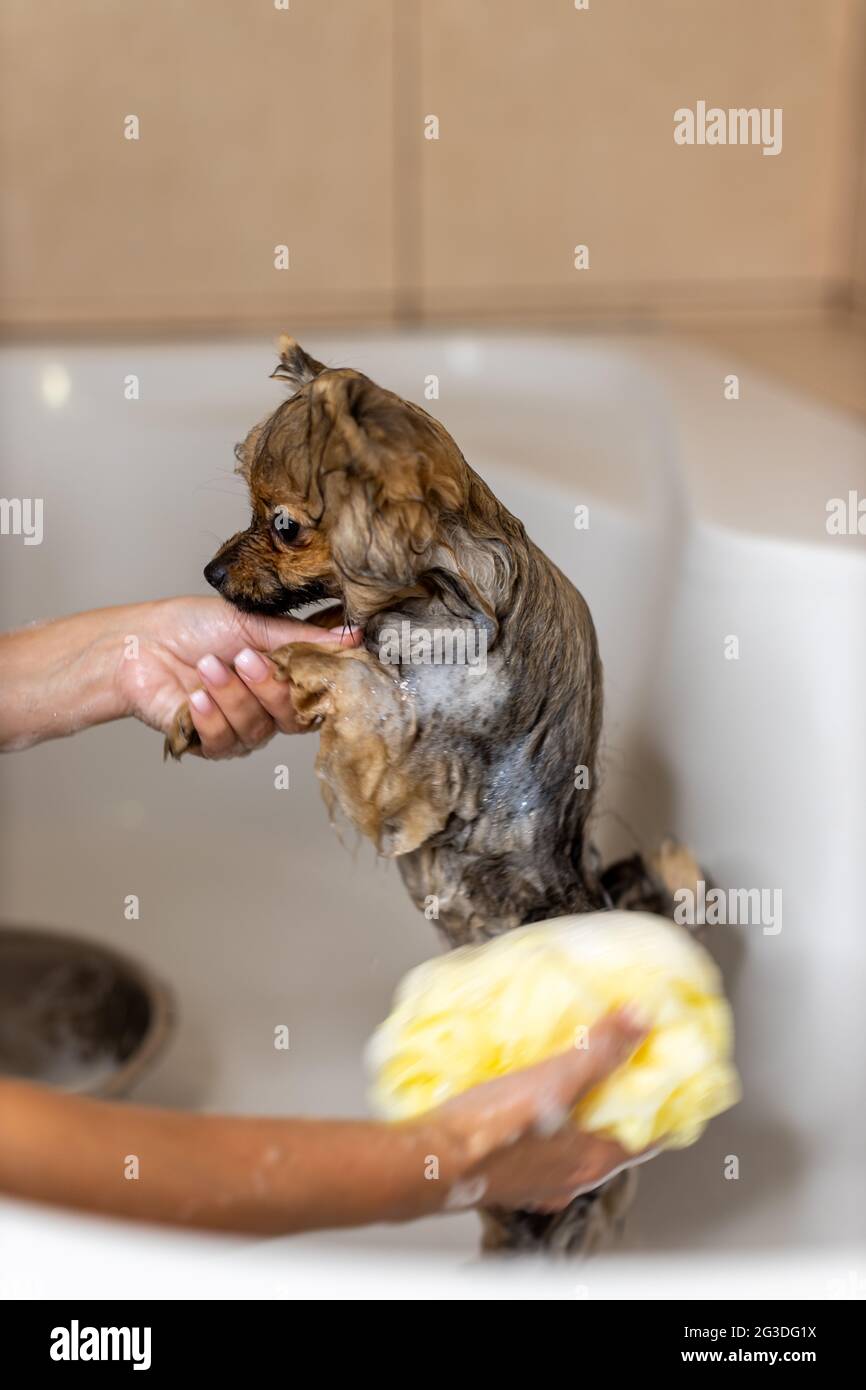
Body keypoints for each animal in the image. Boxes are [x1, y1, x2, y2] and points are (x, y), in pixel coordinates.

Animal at [167, 339, 697, 1262]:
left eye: (284, 524)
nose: (210, 571)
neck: (440, 591)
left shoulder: (409, 751)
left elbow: (340, 666)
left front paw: (275, 670)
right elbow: (338, 638)